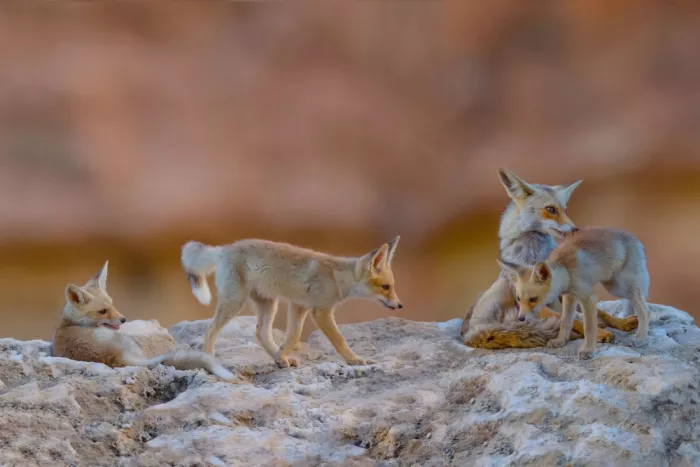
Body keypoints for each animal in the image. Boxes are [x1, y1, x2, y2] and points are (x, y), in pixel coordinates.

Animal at [181, 236, 403, 368]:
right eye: (386, 287)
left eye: (392, 286)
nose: (401, 305)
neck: (336, 278)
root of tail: (224, 248)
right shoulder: (320, 311)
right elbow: (339, 339)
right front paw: (354, 360)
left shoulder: (299, 306)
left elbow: (294, 336)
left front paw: (281, 356)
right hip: (236, 301)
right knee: (210, 330)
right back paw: (210, 361)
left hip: (268, 304)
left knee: (261, 333)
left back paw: (279, 359)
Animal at [461, 167, 639, 349]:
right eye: (551, 209)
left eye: (566, 210)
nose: (575, 229)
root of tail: (468, 336)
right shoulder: (531, 301)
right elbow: (570, 318)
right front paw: (598, 333)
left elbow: (599, 312)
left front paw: (621, 323)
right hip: (502, 288)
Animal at [497, 226, 651, 358]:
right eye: (519, 299)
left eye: (533, 299)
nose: (520, 318)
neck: (566, 273)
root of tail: (636, 239)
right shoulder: (569, 296)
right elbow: (565, 321)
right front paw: (560, 341)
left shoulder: (588, 297)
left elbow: (589, 328)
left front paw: (588, 350)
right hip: (615, 287)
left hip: (621, 286)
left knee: (645, 311)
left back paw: (640, 338)